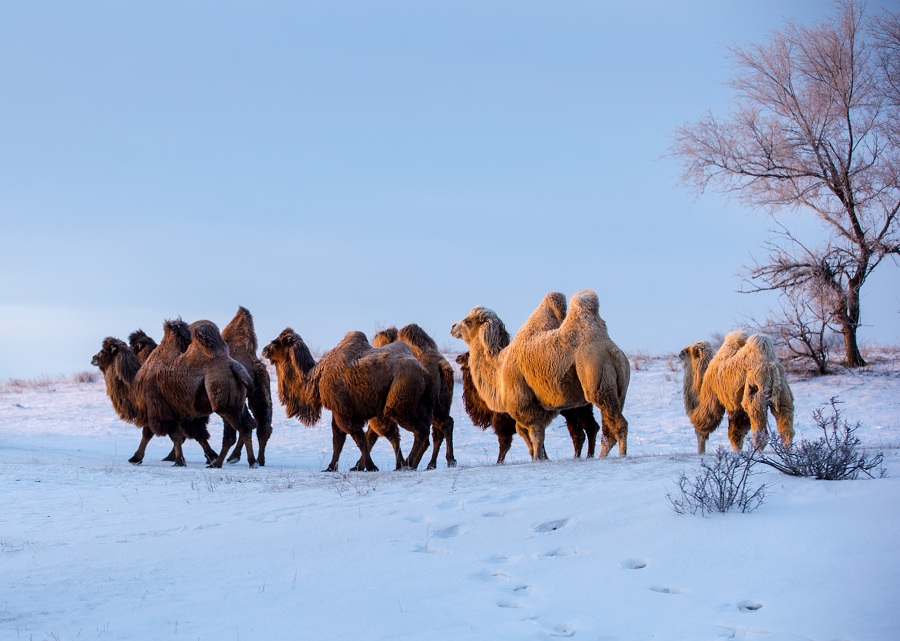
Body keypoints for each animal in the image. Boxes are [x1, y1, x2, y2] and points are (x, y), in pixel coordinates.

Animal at [134, 319, 258, 467]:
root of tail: (235, 368)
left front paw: (136, 458)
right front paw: (179, 460)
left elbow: (151, 432)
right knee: (247, 426)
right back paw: (244, 462)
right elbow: (179, 435)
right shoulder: (178, 411)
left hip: (223, 404)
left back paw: (222, 463)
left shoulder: (159, 407)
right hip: (238, 403)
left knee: (241, 429)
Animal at [262, 328, 433, 472]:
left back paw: (408, 464)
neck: (317, 378)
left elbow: (359, 438)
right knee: (418, 431)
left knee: (420, 430)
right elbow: (338, 440)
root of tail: (424, 373)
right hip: (418, 404)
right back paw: (408, 464)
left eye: (276, 342)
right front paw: (331, 467)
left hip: (399, 401)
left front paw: (370, 466)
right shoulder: (337, 410)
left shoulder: (344, 412)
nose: (264, 350)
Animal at [451, 289, 630, 461]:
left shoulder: (525, 404)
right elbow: (524, 432)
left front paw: (538, 459)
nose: (452, 327)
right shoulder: (541, 407)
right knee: (607, 430)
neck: (499, 369)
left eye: (468, 321)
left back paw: (622, 455)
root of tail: (611, 349)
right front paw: (537, 457)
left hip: (595, 376)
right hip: (617, 389)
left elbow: (535, 435)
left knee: (618, 423)